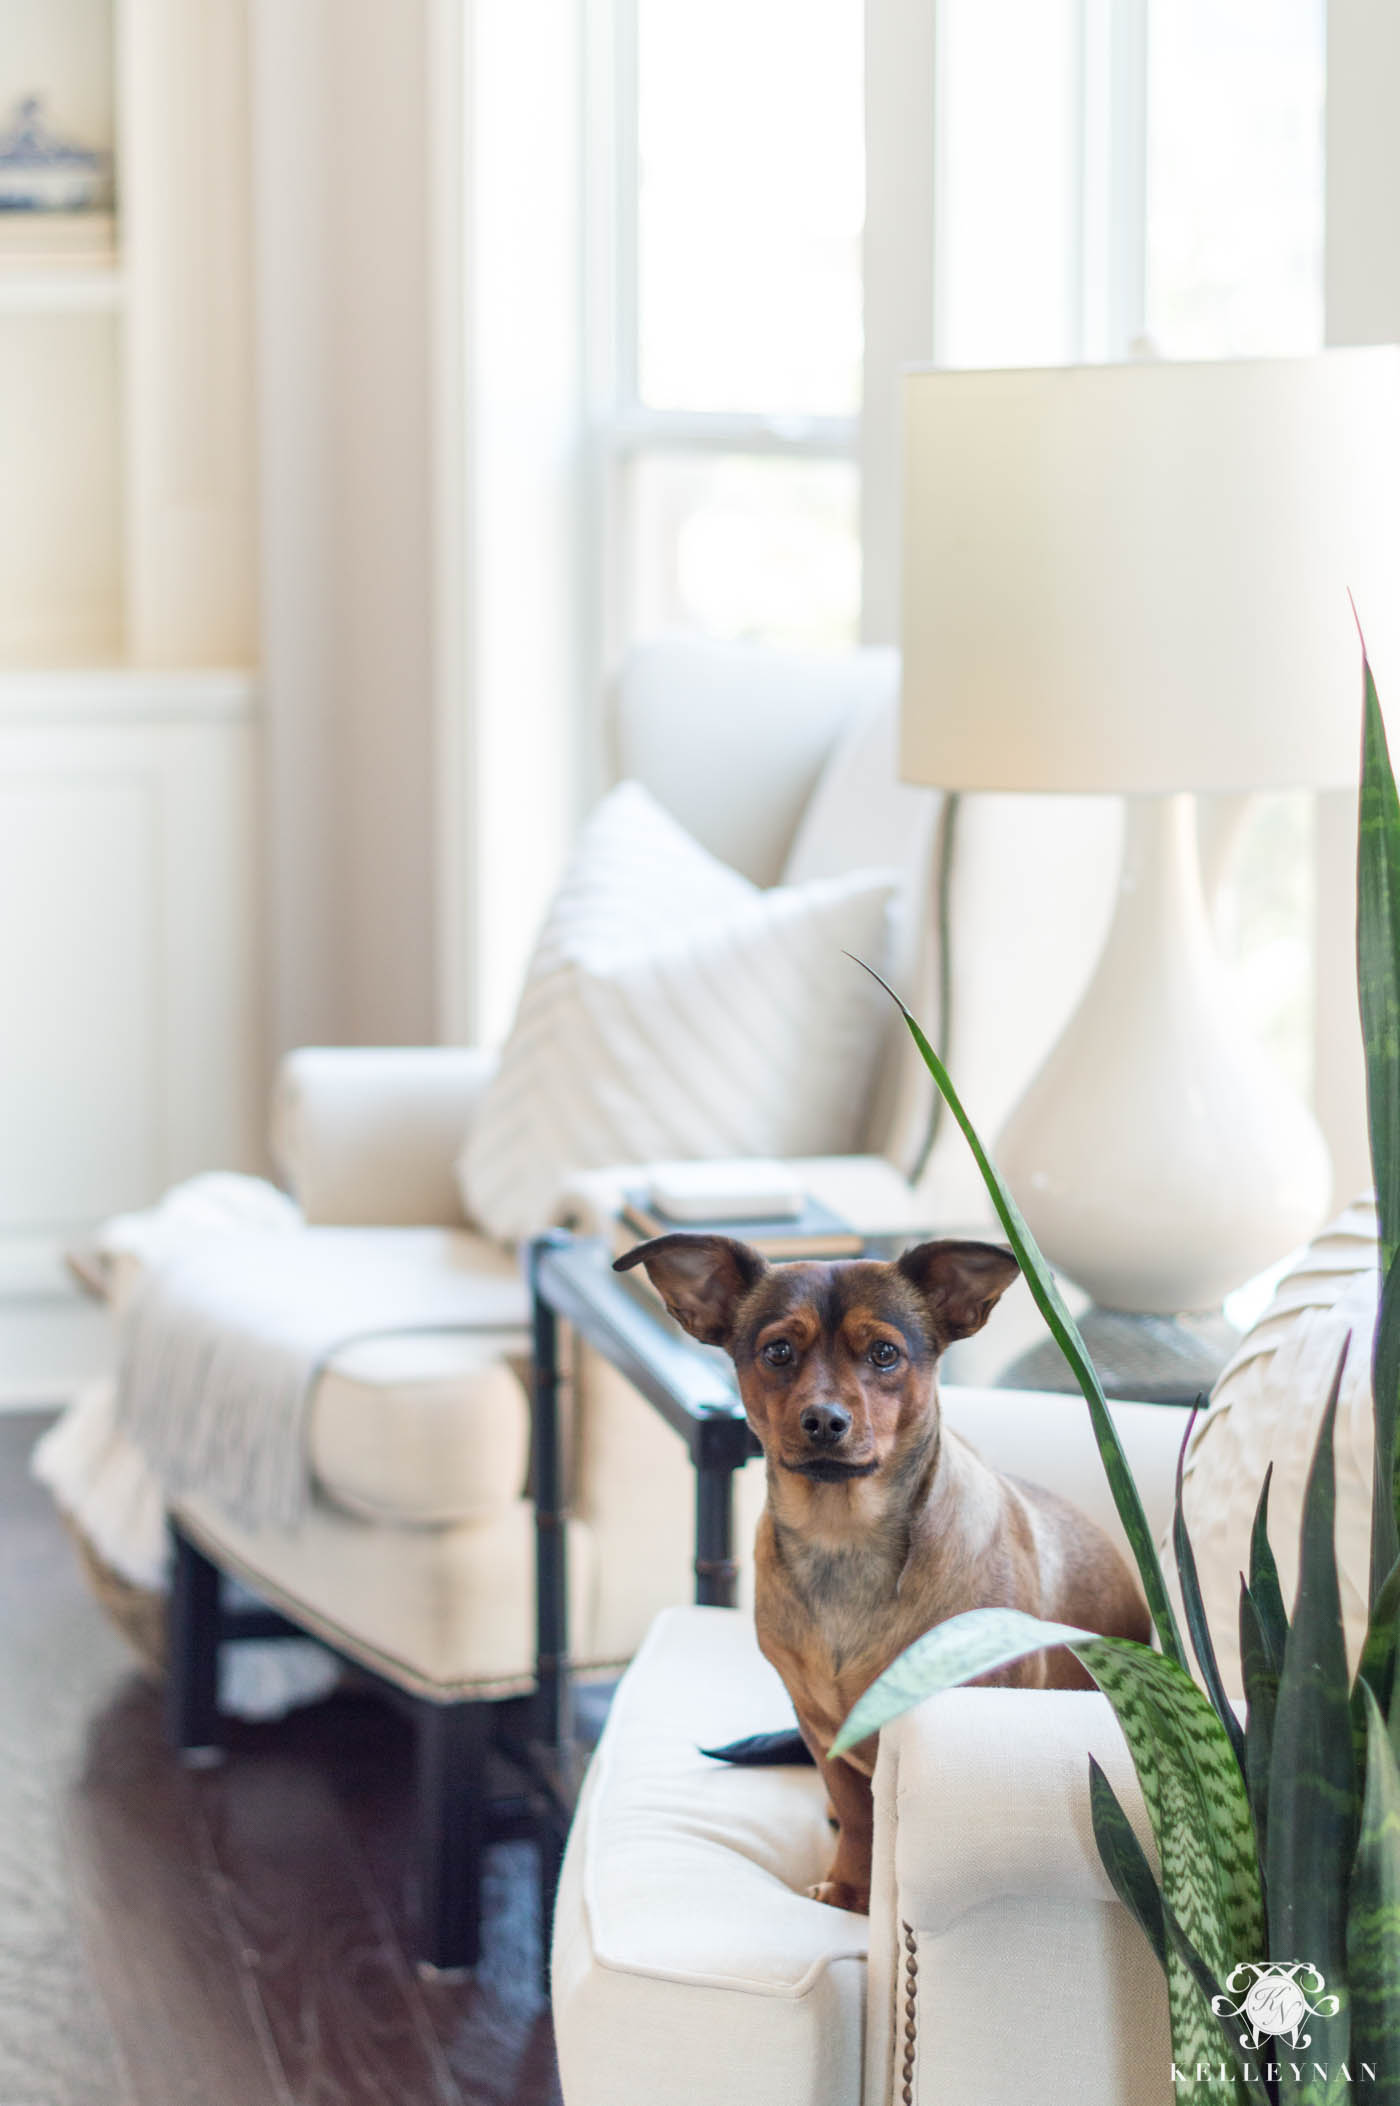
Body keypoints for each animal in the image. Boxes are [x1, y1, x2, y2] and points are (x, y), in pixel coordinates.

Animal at [610, 1229, 1145, 1912]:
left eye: (886, 1354)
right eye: (778, 1351)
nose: (824, 1420)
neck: (844, 1541)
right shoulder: (820, 1731)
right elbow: (858, 1815)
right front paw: (848, 1886)